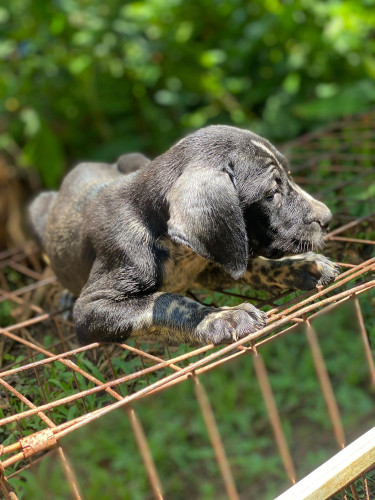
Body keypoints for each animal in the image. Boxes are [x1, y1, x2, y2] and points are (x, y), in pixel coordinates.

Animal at [29, 125, 340, 344]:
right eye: (271, 193)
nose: (327, 218)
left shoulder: (212, 260)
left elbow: (255, 264)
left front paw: (302, 265)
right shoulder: (92, 307)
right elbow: (166, 302)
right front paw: (224, 317)